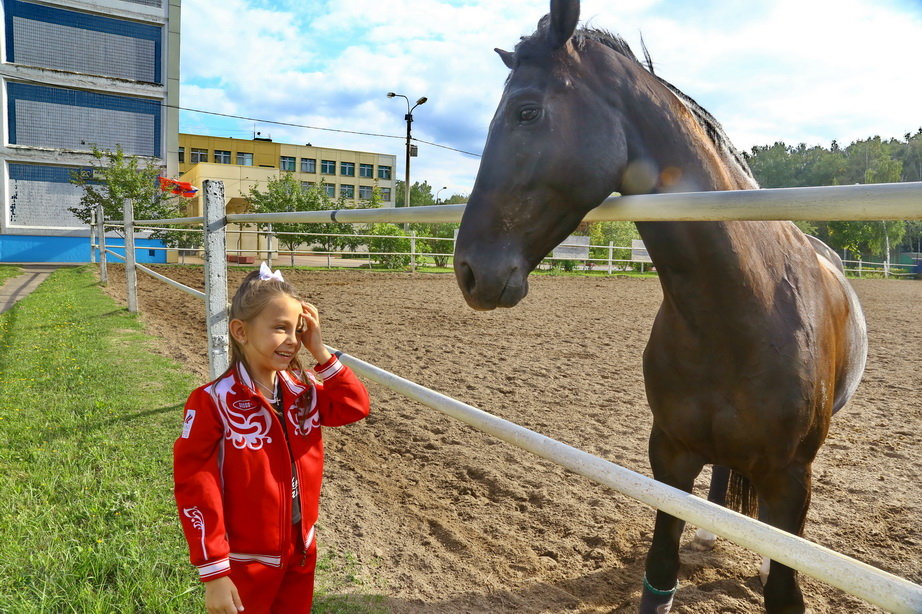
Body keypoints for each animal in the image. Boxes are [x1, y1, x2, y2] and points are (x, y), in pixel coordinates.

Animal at [456, 2, 868, 612]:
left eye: (526, 111)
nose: (468, 271)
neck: (744, 310)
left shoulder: (791, 478)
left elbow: (782, 585)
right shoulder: (669, 456)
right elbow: (660, 571)